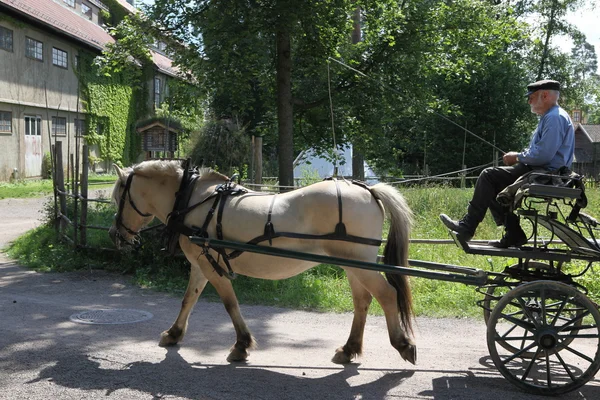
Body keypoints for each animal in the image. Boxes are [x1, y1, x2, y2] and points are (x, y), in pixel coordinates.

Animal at [109, 160, 418, 366]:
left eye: (118, 198)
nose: (116, 235)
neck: (195, 201)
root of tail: (368, 189)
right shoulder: (200, 264)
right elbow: (189, 299)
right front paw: (173, 334)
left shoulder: (211, 266)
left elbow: (230, 304)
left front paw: (241, 345)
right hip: (354, 265)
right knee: (362, 301)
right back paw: (349, 348)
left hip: (358, 263)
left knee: (387, 294)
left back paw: (403, 344)